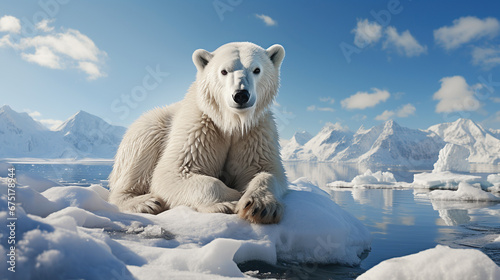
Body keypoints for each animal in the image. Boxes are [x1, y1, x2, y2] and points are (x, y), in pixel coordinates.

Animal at [108, 42, 290, 224]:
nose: (241, 95)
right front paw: (229, 201)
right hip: (148, 128)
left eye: (256, 69)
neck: (231, 122)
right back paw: (146, 202)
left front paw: (260, 206)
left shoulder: (256, 131)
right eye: (224, 71)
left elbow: (264, 170)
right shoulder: (199, 127)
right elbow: (174, 171)